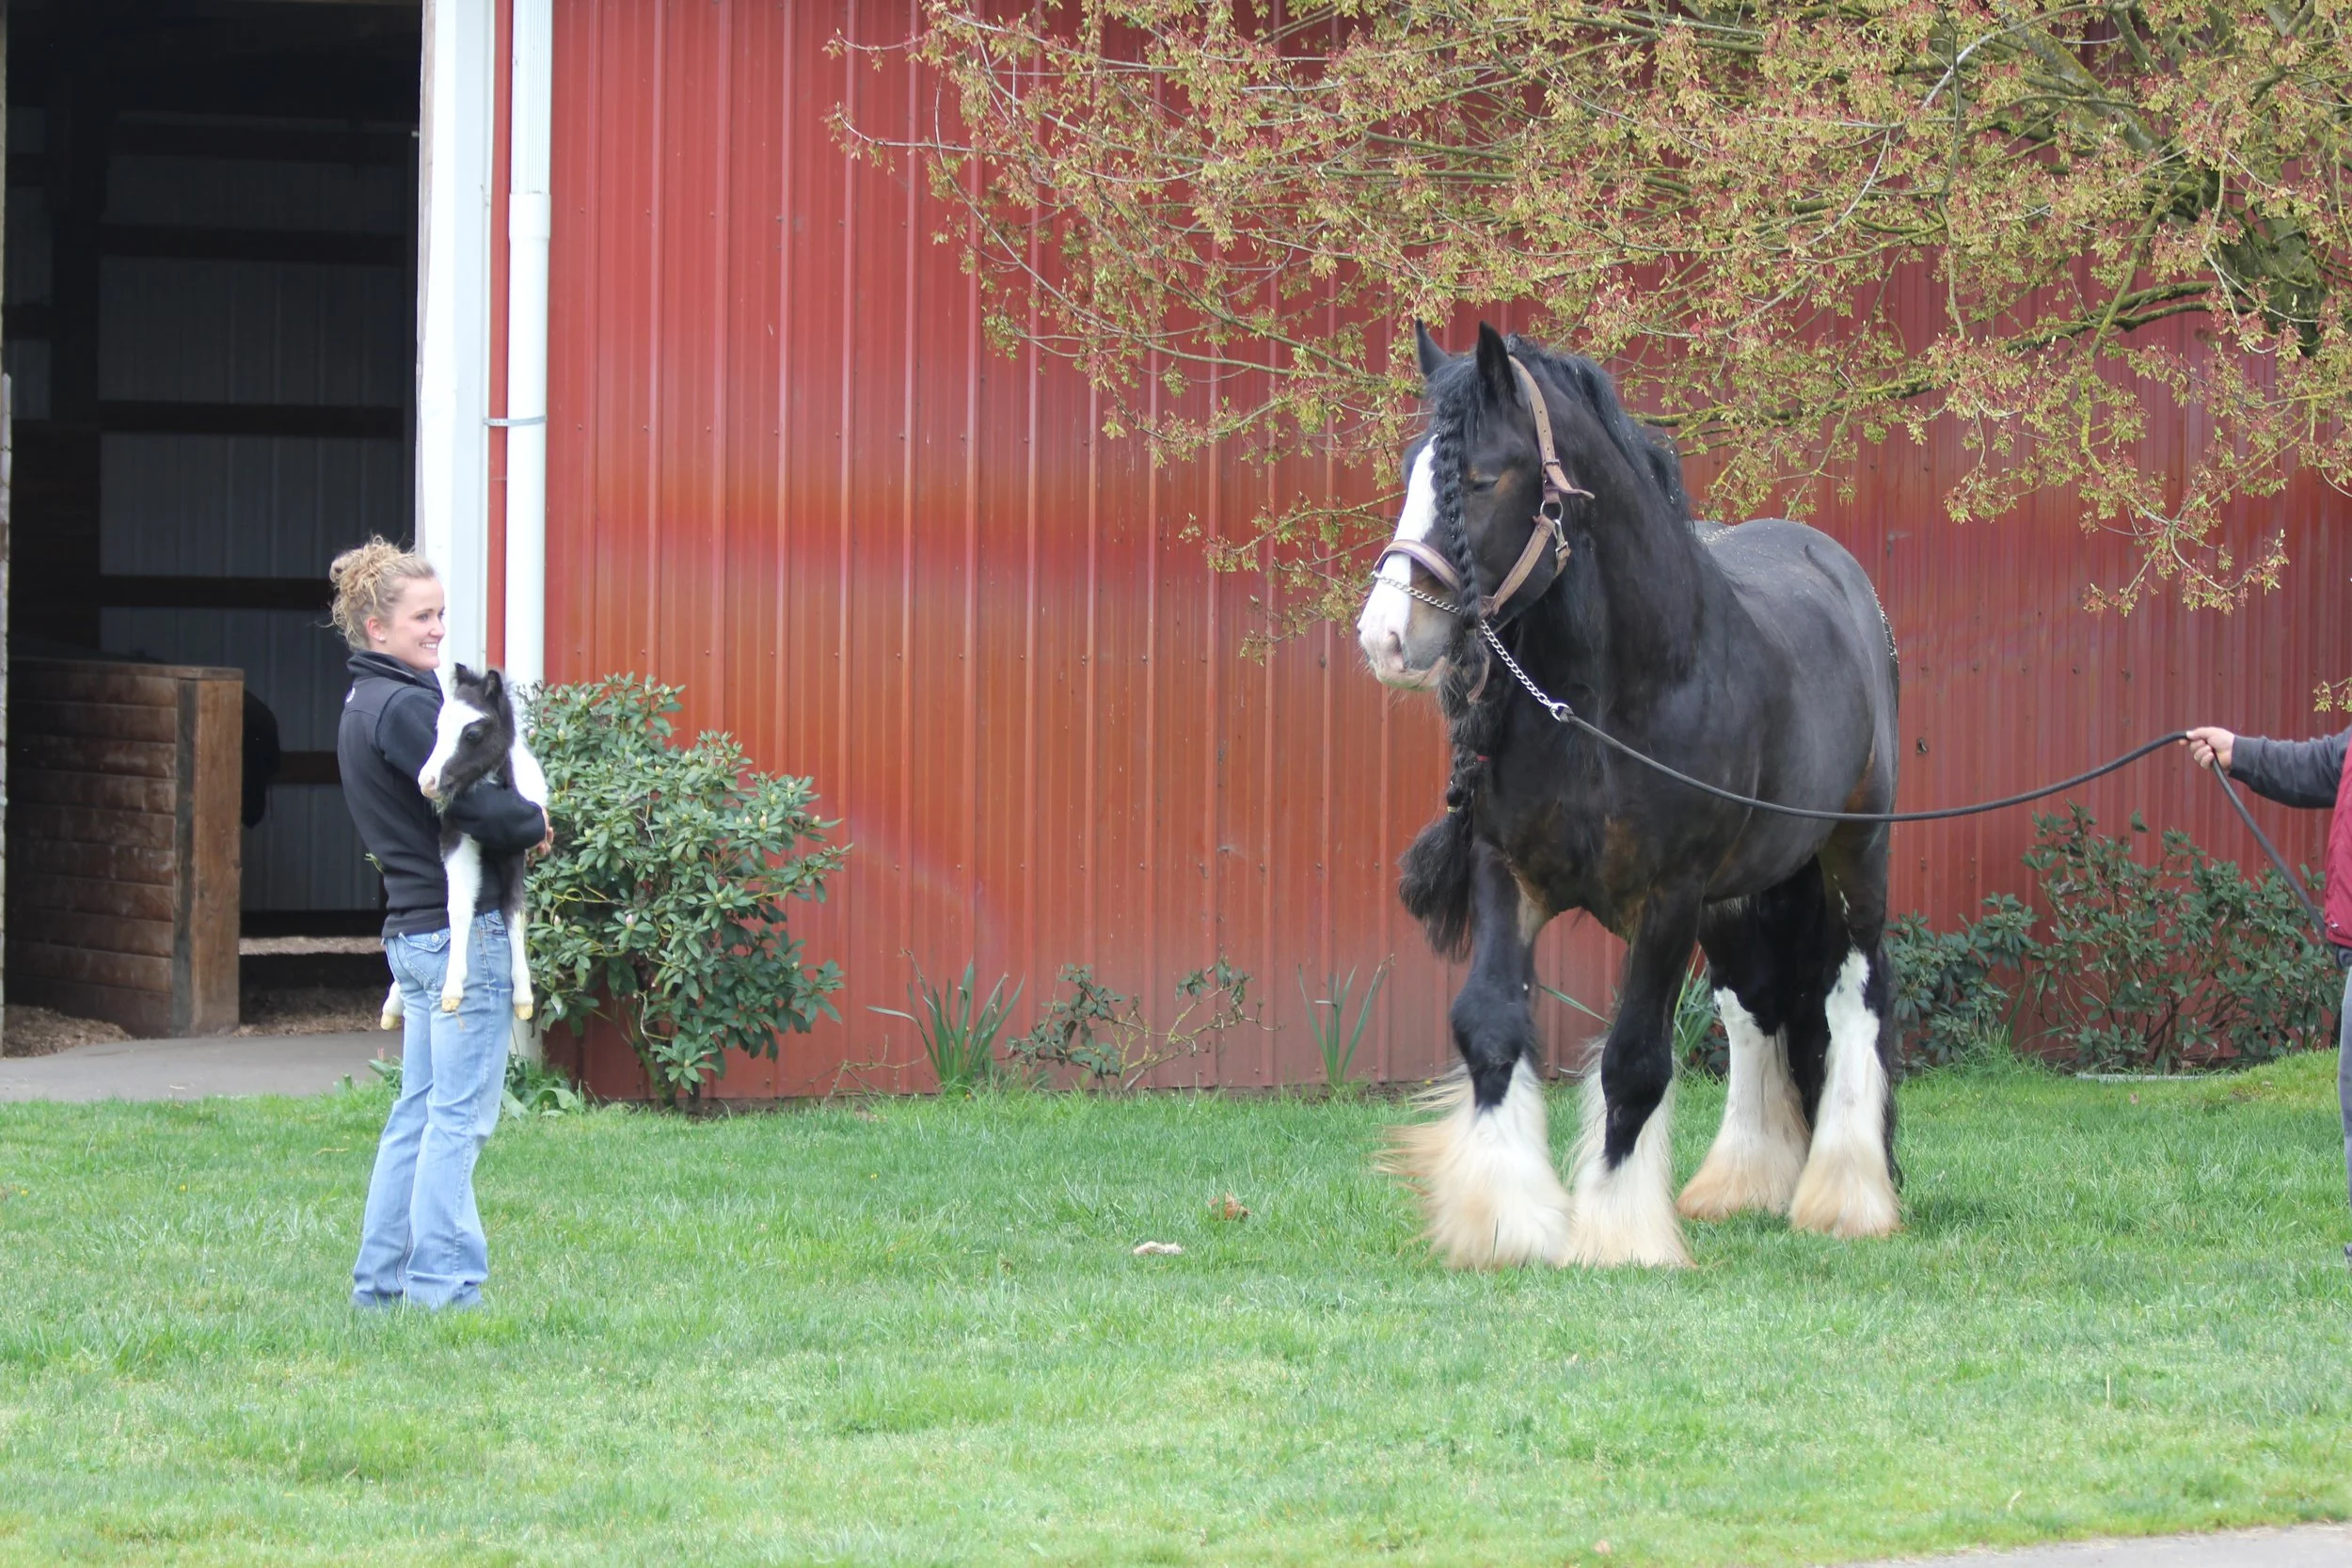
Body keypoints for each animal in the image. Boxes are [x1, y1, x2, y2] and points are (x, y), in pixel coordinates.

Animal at [380, 664, 550, 1028]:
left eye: (472, 733)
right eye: (437, 727)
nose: (427, 782)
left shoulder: (515, 853)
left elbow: (515, 910)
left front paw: (523, 997)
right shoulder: (455, 838)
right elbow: (459, 906)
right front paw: (452, 990)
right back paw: (393, 1003)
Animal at [1356, 322, 1904, 1269]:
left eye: (1480, 476)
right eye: (1410, 467)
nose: (1387, 637)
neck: (1608, 702)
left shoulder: (1668, 898)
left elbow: (1636, 1061)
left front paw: (1616, 1232)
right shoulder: (1510, 874)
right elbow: (1490, 1024)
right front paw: (1505, 1217)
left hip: (1853, 855)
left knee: (1852, 995)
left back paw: (1847, 1194)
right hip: (1739, 897)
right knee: (1756, 1003)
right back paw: (1742, 1182)